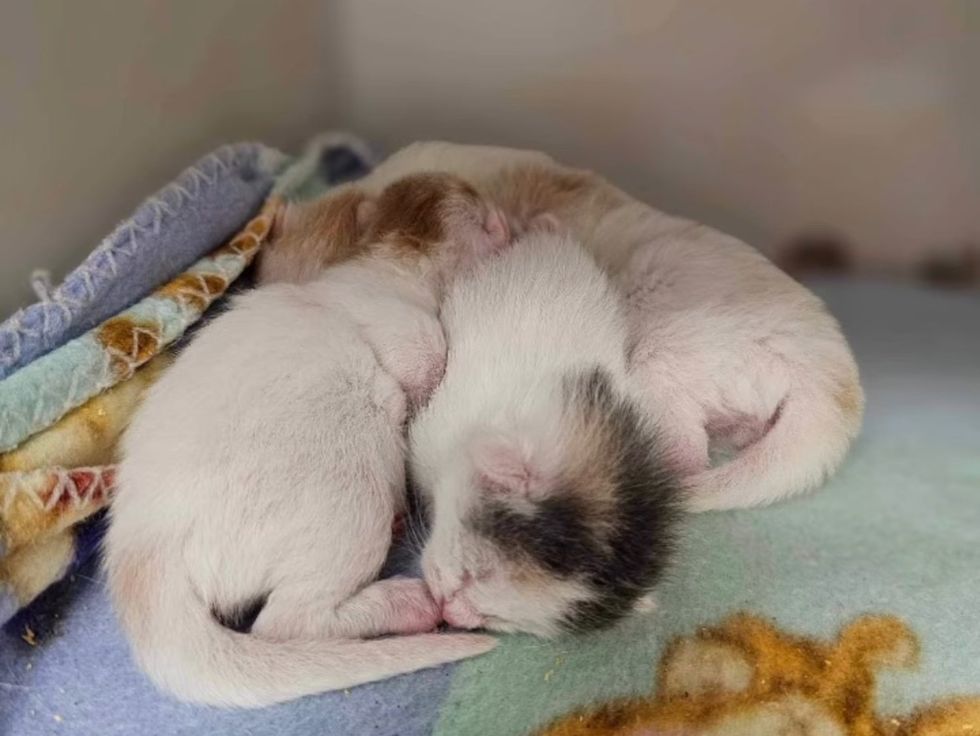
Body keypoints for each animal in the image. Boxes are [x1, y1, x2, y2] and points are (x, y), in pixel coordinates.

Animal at [103, 172, 510, 708]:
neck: (380, 264)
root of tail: (140, 557)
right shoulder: (417, 337)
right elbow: (414, 378)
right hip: (349, 498)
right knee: (285, 622)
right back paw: (406, 601)